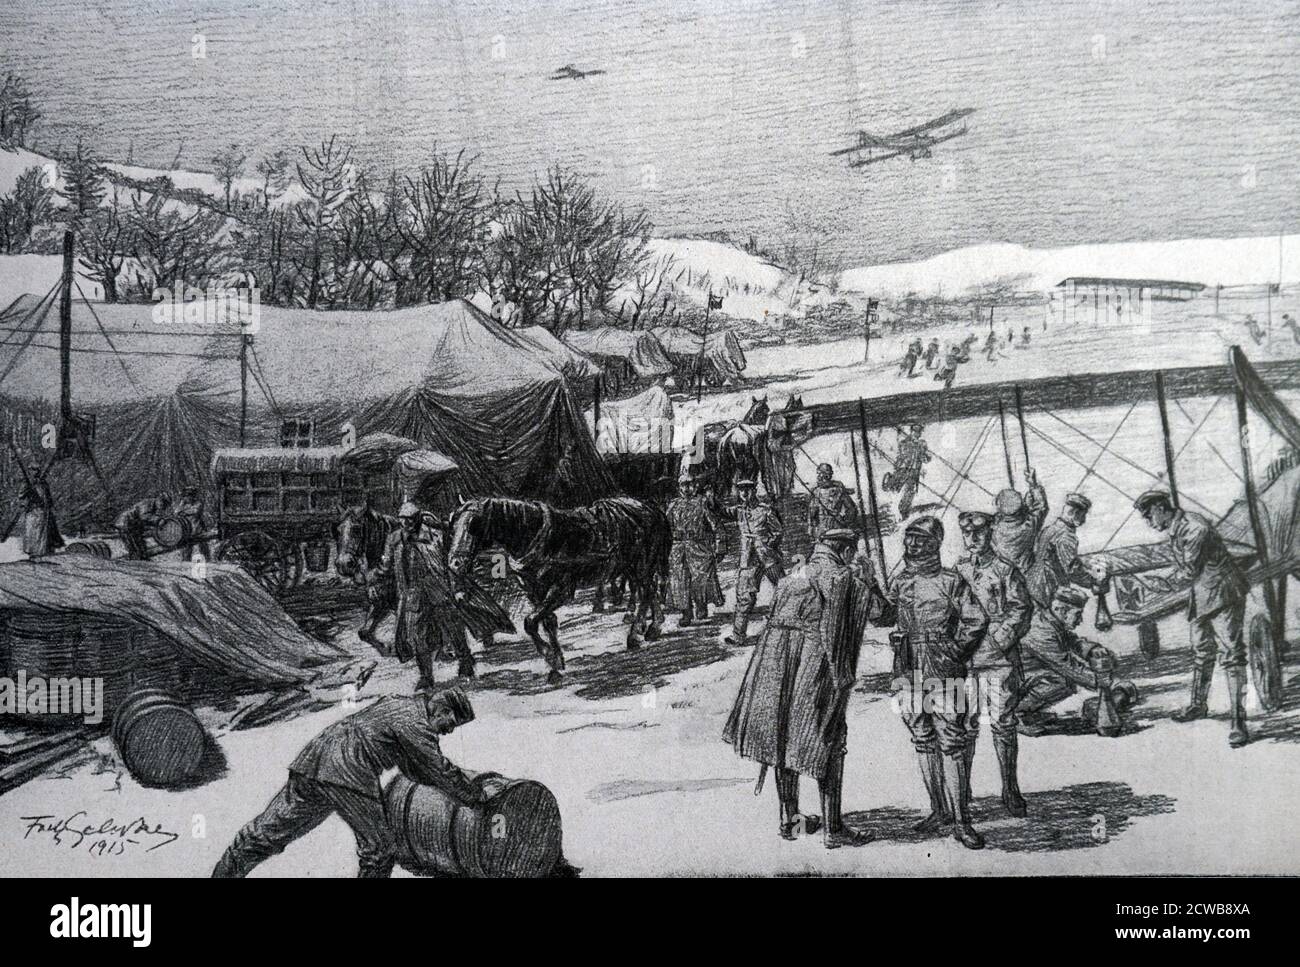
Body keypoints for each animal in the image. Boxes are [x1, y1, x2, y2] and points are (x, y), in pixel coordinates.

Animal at [447, 493, 670, 686]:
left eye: (474, 523)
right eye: (452, 523)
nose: (455, 563)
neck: (535, 536)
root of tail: (650, 507)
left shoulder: (561, 590)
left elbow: (530, 622)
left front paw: (550, 658)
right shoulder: (535, 591)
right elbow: (547, 623)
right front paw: (557, 662)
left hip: (641, 565)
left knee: (646, 590)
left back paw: (635, 634)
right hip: (631, 566)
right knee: (648, 589)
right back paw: (653, 627)